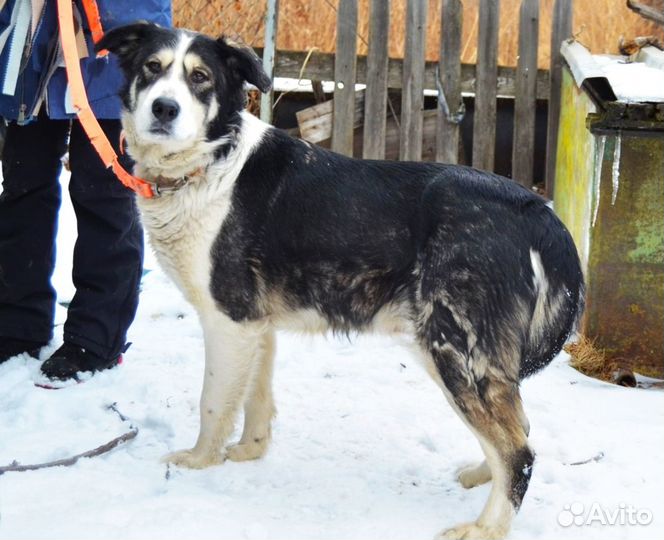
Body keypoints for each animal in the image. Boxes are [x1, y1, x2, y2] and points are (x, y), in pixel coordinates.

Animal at [96, 23, 584, 536]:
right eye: (152, 68)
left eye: (200, 78)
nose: (163, 108)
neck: (210, 162)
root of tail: (534, 209)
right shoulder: (256, 327)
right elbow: (255, 398)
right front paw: (248, 453)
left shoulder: (227, 319)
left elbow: (214, 402)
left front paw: (198, 462)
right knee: (517, 429)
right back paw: (478, 476)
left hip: (454, 349)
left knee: (519, 450)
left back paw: (485, 528)